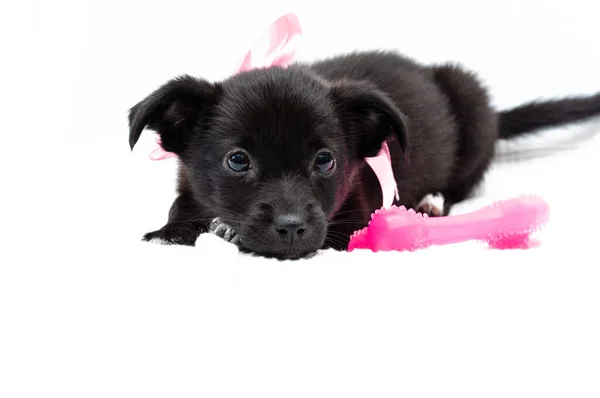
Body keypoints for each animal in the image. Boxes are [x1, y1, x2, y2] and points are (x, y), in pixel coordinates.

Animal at [129, 49, 600, 260]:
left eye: (325, 160)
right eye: (237, 160)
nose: (292, 229)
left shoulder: (353, 216)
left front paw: (223, 230)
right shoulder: (189, 187)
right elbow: (180, 206)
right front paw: (174, 230)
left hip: (472, 105)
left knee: (463, 185)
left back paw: (433, 201)